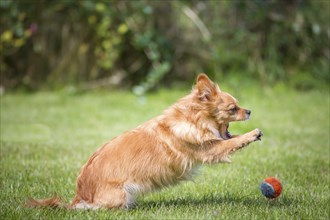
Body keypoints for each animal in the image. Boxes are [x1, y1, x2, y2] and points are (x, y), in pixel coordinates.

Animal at [29, 74, 264, 210]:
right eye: (233, 109)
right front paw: (252, 134)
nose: (250, 111)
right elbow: (230, 144)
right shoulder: (209, 150)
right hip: (121, 194)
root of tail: (80, 196)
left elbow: (231, 140)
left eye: (239, 105)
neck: (192, 119)